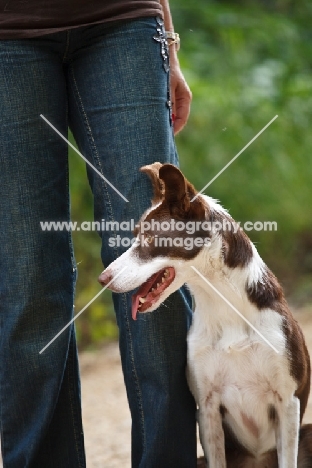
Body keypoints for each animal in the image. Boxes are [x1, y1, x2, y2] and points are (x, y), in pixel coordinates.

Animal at [98, 163, 310, 466]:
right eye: (136, 235)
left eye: (149, 239)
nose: (102, 279)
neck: (223, 304)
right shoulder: (207, 406)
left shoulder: (287, 402)